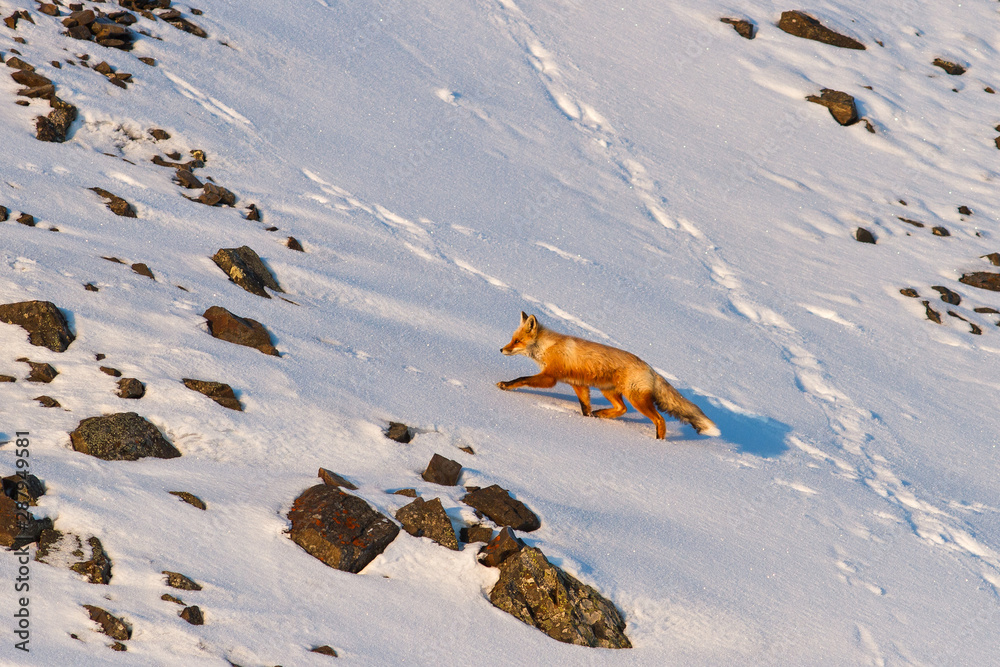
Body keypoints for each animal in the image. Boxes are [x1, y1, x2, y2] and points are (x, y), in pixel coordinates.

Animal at [494, 312, 720, 440]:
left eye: (517, 341)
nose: (501, 349)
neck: (547, 347)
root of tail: (650, 368)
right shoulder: (578, 384)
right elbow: (585, 407)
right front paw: (586, 419)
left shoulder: (550, 377)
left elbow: (522, 379)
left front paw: (506, 385)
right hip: (609, 391)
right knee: (622, 409)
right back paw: (601, 414)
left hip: (636, 398)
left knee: (659, 419)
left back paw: (659, 442)